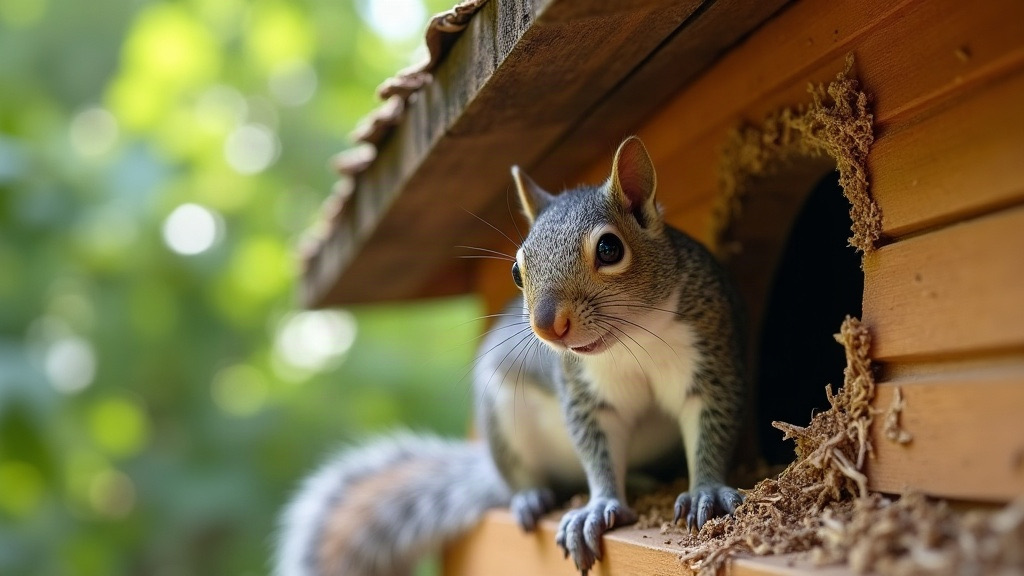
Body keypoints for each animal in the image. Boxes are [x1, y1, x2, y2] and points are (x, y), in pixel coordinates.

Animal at [275, 136, 747, 576]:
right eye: (517, 271)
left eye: (610, 249)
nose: (546, 326)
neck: (631, 341)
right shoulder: (583, 393)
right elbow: (597, 452)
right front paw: (598, 506)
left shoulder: (709, 362)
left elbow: (710, 429)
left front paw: (705, 491)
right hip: (502, 418)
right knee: (525, 478)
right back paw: (531, 496)